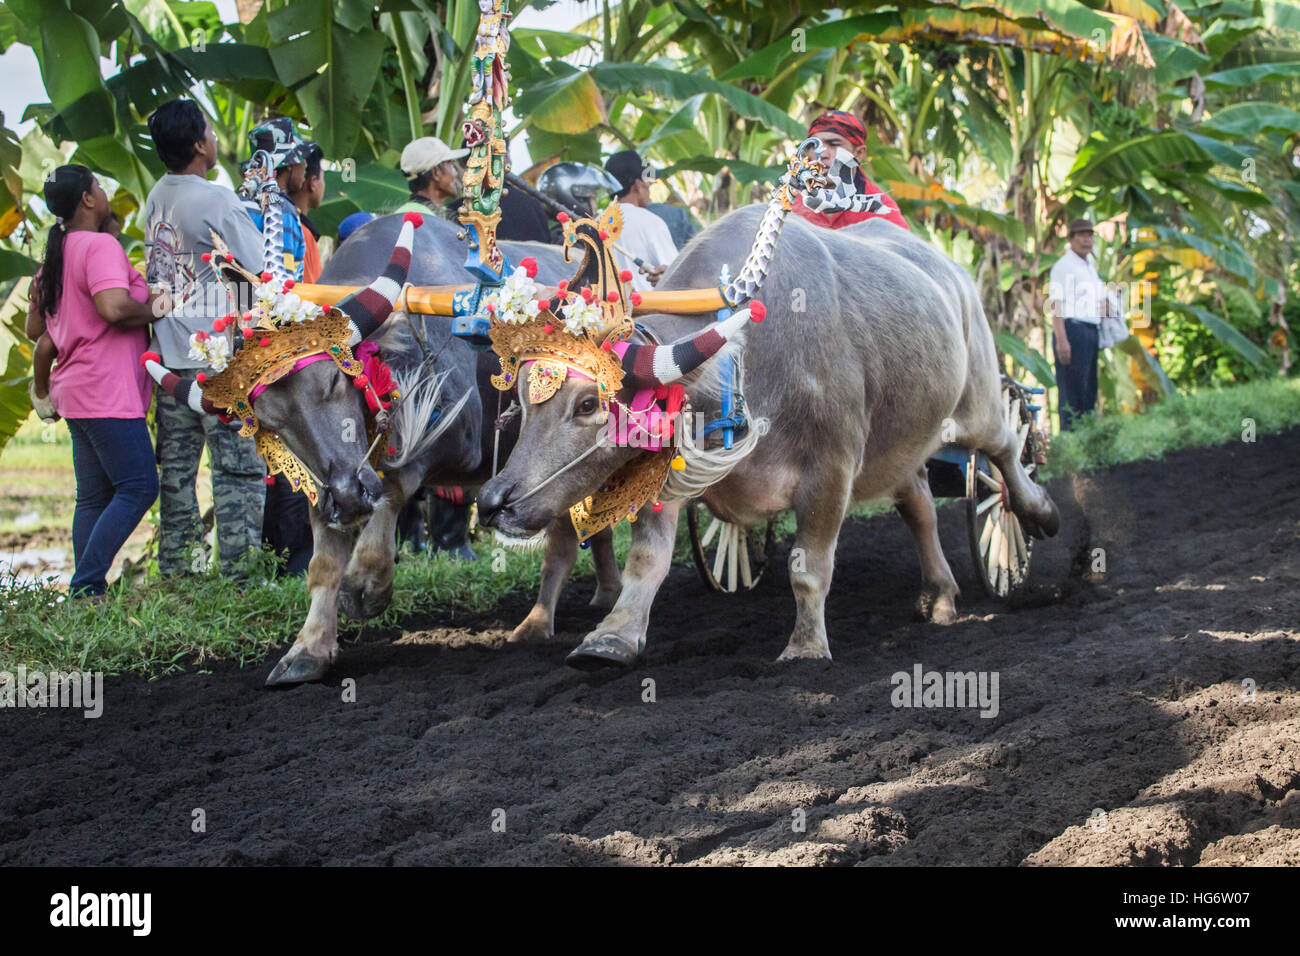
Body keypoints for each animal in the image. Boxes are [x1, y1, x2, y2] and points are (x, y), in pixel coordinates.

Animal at [478, 204, 1055, 665]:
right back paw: (939, 595)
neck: (742, 364)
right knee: (918, 505)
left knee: (1005, 450)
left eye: (588, 404)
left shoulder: (831, 470)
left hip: (977, 400)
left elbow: (809, 567)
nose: (493, 502)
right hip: (900, 442)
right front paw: (611, 639)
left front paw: (805, 647)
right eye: (523, 400)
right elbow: (647, 560)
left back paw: (1036, 512)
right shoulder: (673, 477)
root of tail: (955, 276)